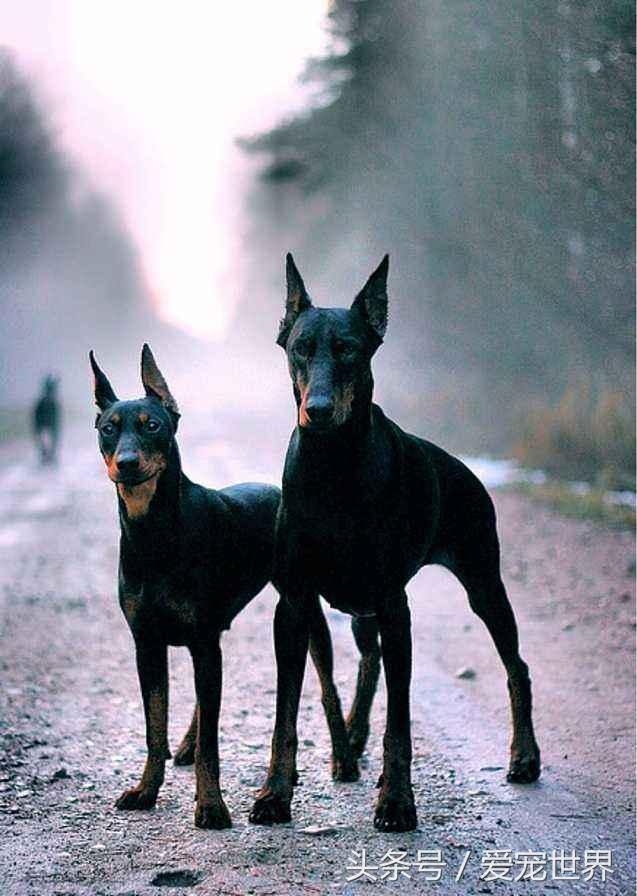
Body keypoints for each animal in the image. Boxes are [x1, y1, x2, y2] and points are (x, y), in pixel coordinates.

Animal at [90, 346, 358, 828]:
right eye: (108, 429)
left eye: (152, 426)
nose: (127, 464)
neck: (154, 533)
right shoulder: (147, 645)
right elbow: (153, 727)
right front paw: (145, 790)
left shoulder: (201, 639)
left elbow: (212, 746)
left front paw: (212, 806)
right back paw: (185, 744)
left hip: (303, 612)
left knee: (327, 686)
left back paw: (343, 761)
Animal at [251, 254, 540, 832]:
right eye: (301, 347)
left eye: (349, 349)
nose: (318, 409)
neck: (333, 467)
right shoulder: (293, 603)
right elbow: (285, 714)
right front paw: (275, 793)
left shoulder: (393, 604)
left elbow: (401, 723)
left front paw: (397, 802)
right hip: (358, 606)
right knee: (370, 659)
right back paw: (354, 737)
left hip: (481, 579)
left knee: (515, 665)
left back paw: (524, 757)